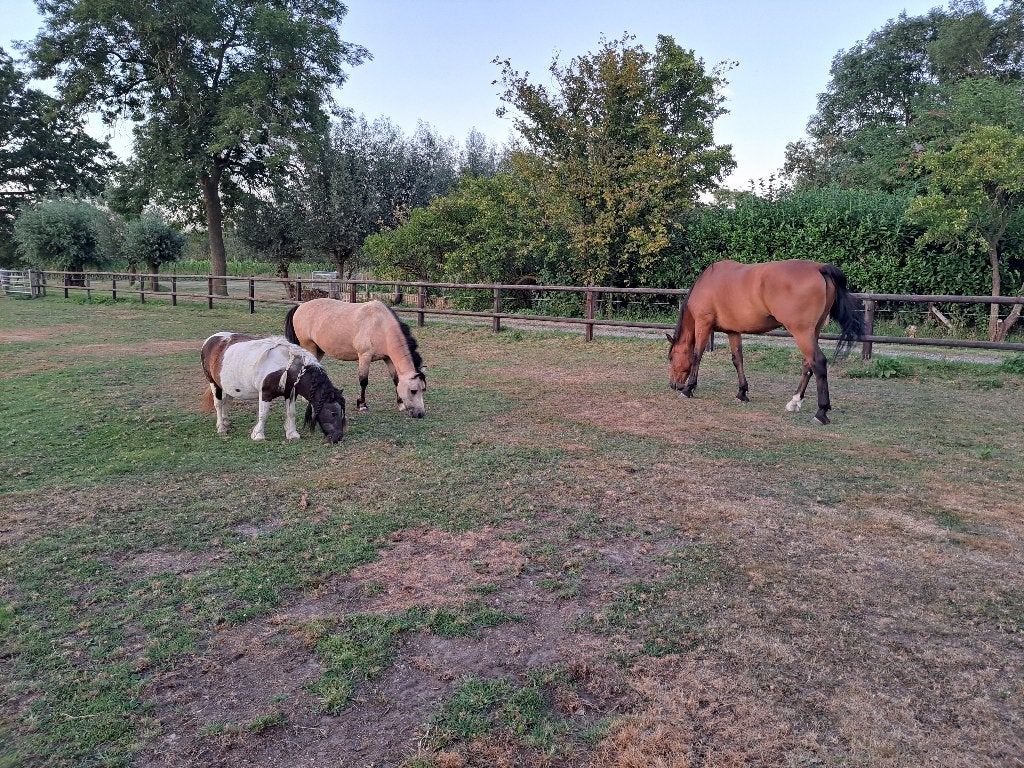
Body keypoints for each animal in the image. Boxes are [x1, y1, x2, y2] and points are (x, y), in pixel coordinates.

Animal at [200, 333, 346, 442]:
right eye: (333, 413)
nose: (338, 437)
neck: (286, 368)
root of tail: (211, 339)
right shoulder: (265, 394)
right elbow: (263, 414)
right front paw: (258, 435)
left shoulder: (291, 393)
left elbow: (291, 413)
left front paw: (292, 434)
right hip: (213, 383)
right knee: (219, 404)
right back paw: (221, 427)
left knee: (226, 402)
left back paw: (226, 423)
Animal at [284, 298, 427, 418]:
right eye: (413, 391)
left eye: (423, 389)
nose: (420, 414)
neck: (381, 325)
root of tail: (300, 306)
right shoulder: (364, 357)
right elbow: (363, 381)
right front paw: (362, 405)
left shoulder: (388, 359)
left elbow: (396, 380)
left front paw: (400, 404)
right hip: (309, 346)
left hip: (319, 350)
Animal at [667, 259, 864, 424]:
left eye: (670, 358)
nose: (673, 385)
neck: (708, 282)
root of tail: (819, 268)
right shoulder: (733, 331)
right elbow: (737, 359)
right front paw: (742, 393)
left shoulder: (703, 323)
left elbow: (697, 355)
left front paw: (689, 389)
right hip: (812, 332)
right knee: (808, 364)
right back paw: (794, 402)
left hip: (801, 332)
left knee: (818, 362)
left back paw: (821, 412)